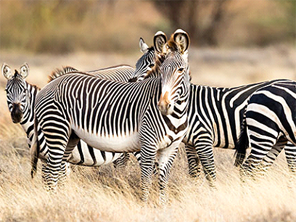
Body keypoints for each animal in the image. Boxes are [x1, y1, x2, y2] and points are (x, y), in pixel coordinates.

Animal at [30, 29, 192, 203]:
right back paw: (54, 202)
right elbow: (147, 179)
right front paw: (145, 205)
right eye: (161, 70)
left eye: (181, 70)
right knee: (50, 173)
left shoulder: (171, 148)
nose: (162, 105)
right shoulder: (148, 144)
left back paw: (62, 200)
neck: (177, 113)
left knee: (58, 171)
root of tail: (45, 88)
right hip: (56, 129)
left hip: (69, 136)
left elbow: (163, 181)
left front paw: (162, 206)